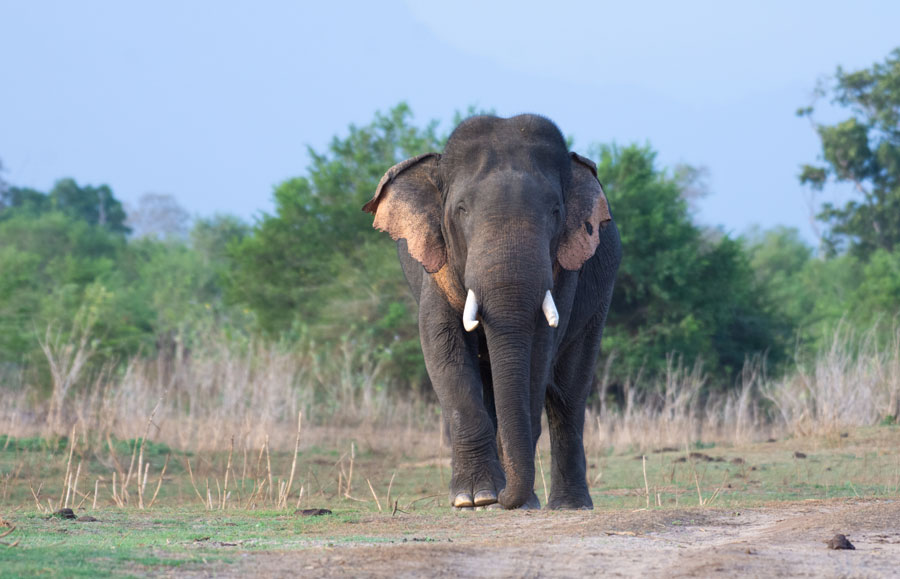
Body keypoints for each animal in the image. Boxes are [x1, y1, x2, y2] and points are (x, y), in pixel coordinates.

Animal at [362, 114, 624, 512]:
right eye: (461, 210)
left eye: (555, 211)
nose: (504, 498)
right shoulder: (435, 265)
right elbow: (442, 343)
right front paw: (474, 498)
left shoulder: (565, 270)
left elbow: (538, 351)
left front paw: (511, 499)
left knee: (568, 395)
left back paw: (569, 505)